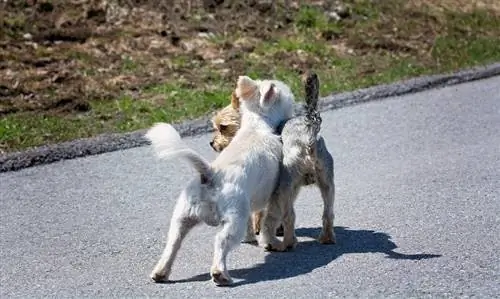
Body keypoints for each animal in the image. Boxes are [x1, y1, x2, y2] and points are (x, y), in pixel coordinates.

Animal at [211, 72, 336, 251]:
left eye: (223, 127)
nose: (212, 143)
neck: (255, 125)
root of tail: (308, 133)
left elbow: (260, 214)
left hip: (285, 183)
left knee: (288, 215)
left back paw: (285, 243)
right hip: (326, 179)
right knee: (328, 212)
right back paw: (326, 238)